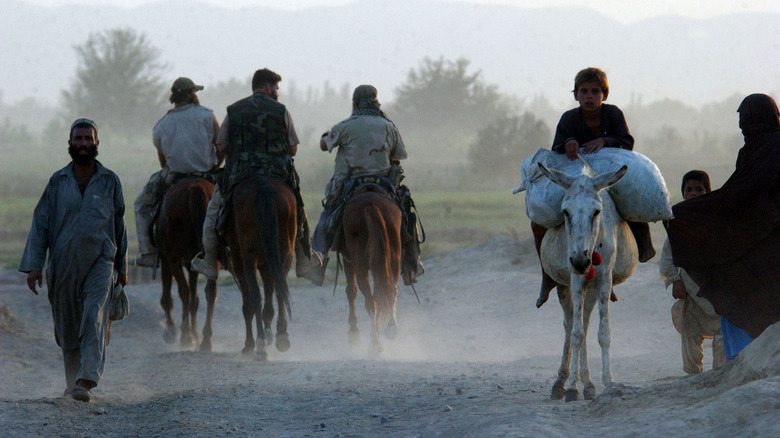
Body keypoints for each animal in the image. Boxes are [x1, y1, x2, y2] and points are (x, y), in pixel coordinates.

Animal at [155, 176, 218, 350]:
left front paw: (172, 331)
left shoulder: (166, 258)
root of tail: (194, 190)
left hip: (174, 257)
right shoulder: (192, 263)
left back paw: (185, 336)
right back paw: (205, 339)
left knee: (183, 291)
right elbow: (194, 300)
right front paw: (195, 333)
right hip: (210, 254)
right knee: (210, 291)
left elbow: (169, 295)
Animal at [222, 175, 296, 360]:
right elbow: (270, 295)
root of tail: (264, 187)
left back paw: (260, 344)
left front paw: (249, 345)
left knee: (255, 295)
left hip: (248, 258)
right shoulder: (267, 264)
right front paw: (270, 331)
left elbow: (248, 303)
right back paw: (281, 336)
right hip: (285, 253)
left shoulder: (239, 261)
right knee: (280, 290)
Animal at [340, 190, 402, 354]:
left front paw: (354, 333)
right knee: (390, 291)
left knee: (370, 301)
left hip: (359, 264)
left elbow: (351, 291)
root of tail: (370, 204)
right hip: (393, 259)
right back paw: (391, 329)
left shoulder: (348, 260)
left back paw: (374, 344)